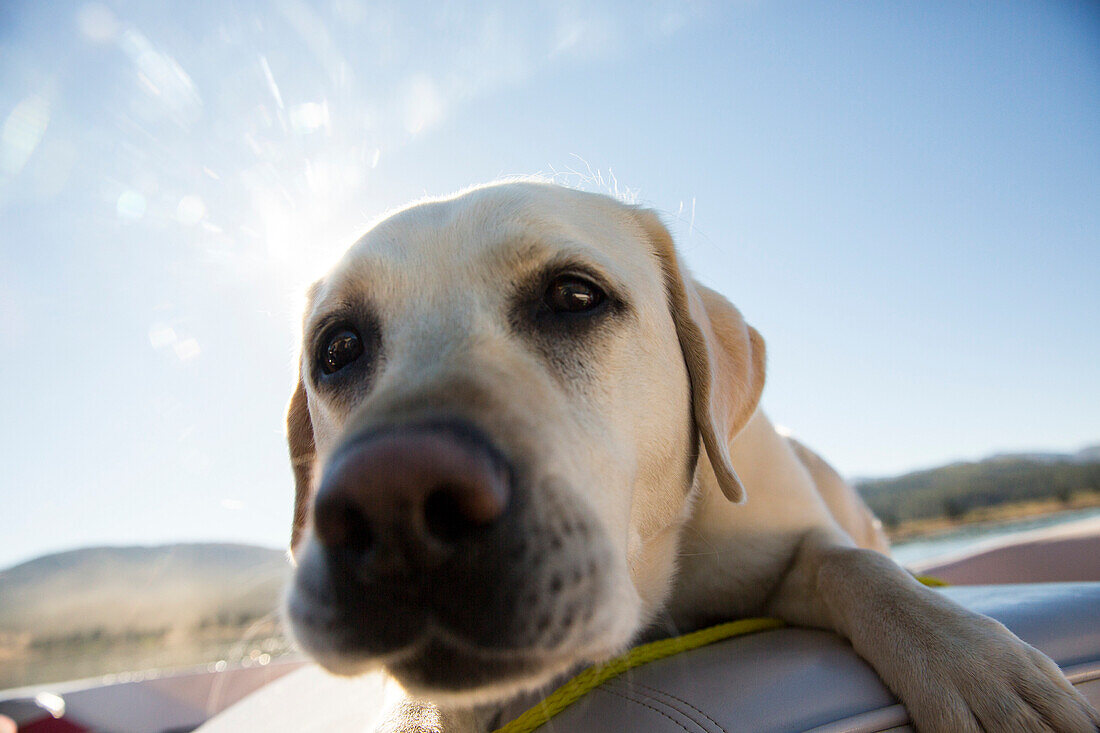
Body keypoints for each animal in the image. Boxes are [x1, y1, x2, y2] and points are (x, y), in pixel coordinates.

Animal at [286, 179, 1100, 726]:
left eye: (574, 295)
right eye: (339, 348)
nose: (391, 500)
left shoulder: (790, 542)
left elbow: (859, 571)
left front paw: (980, 668)